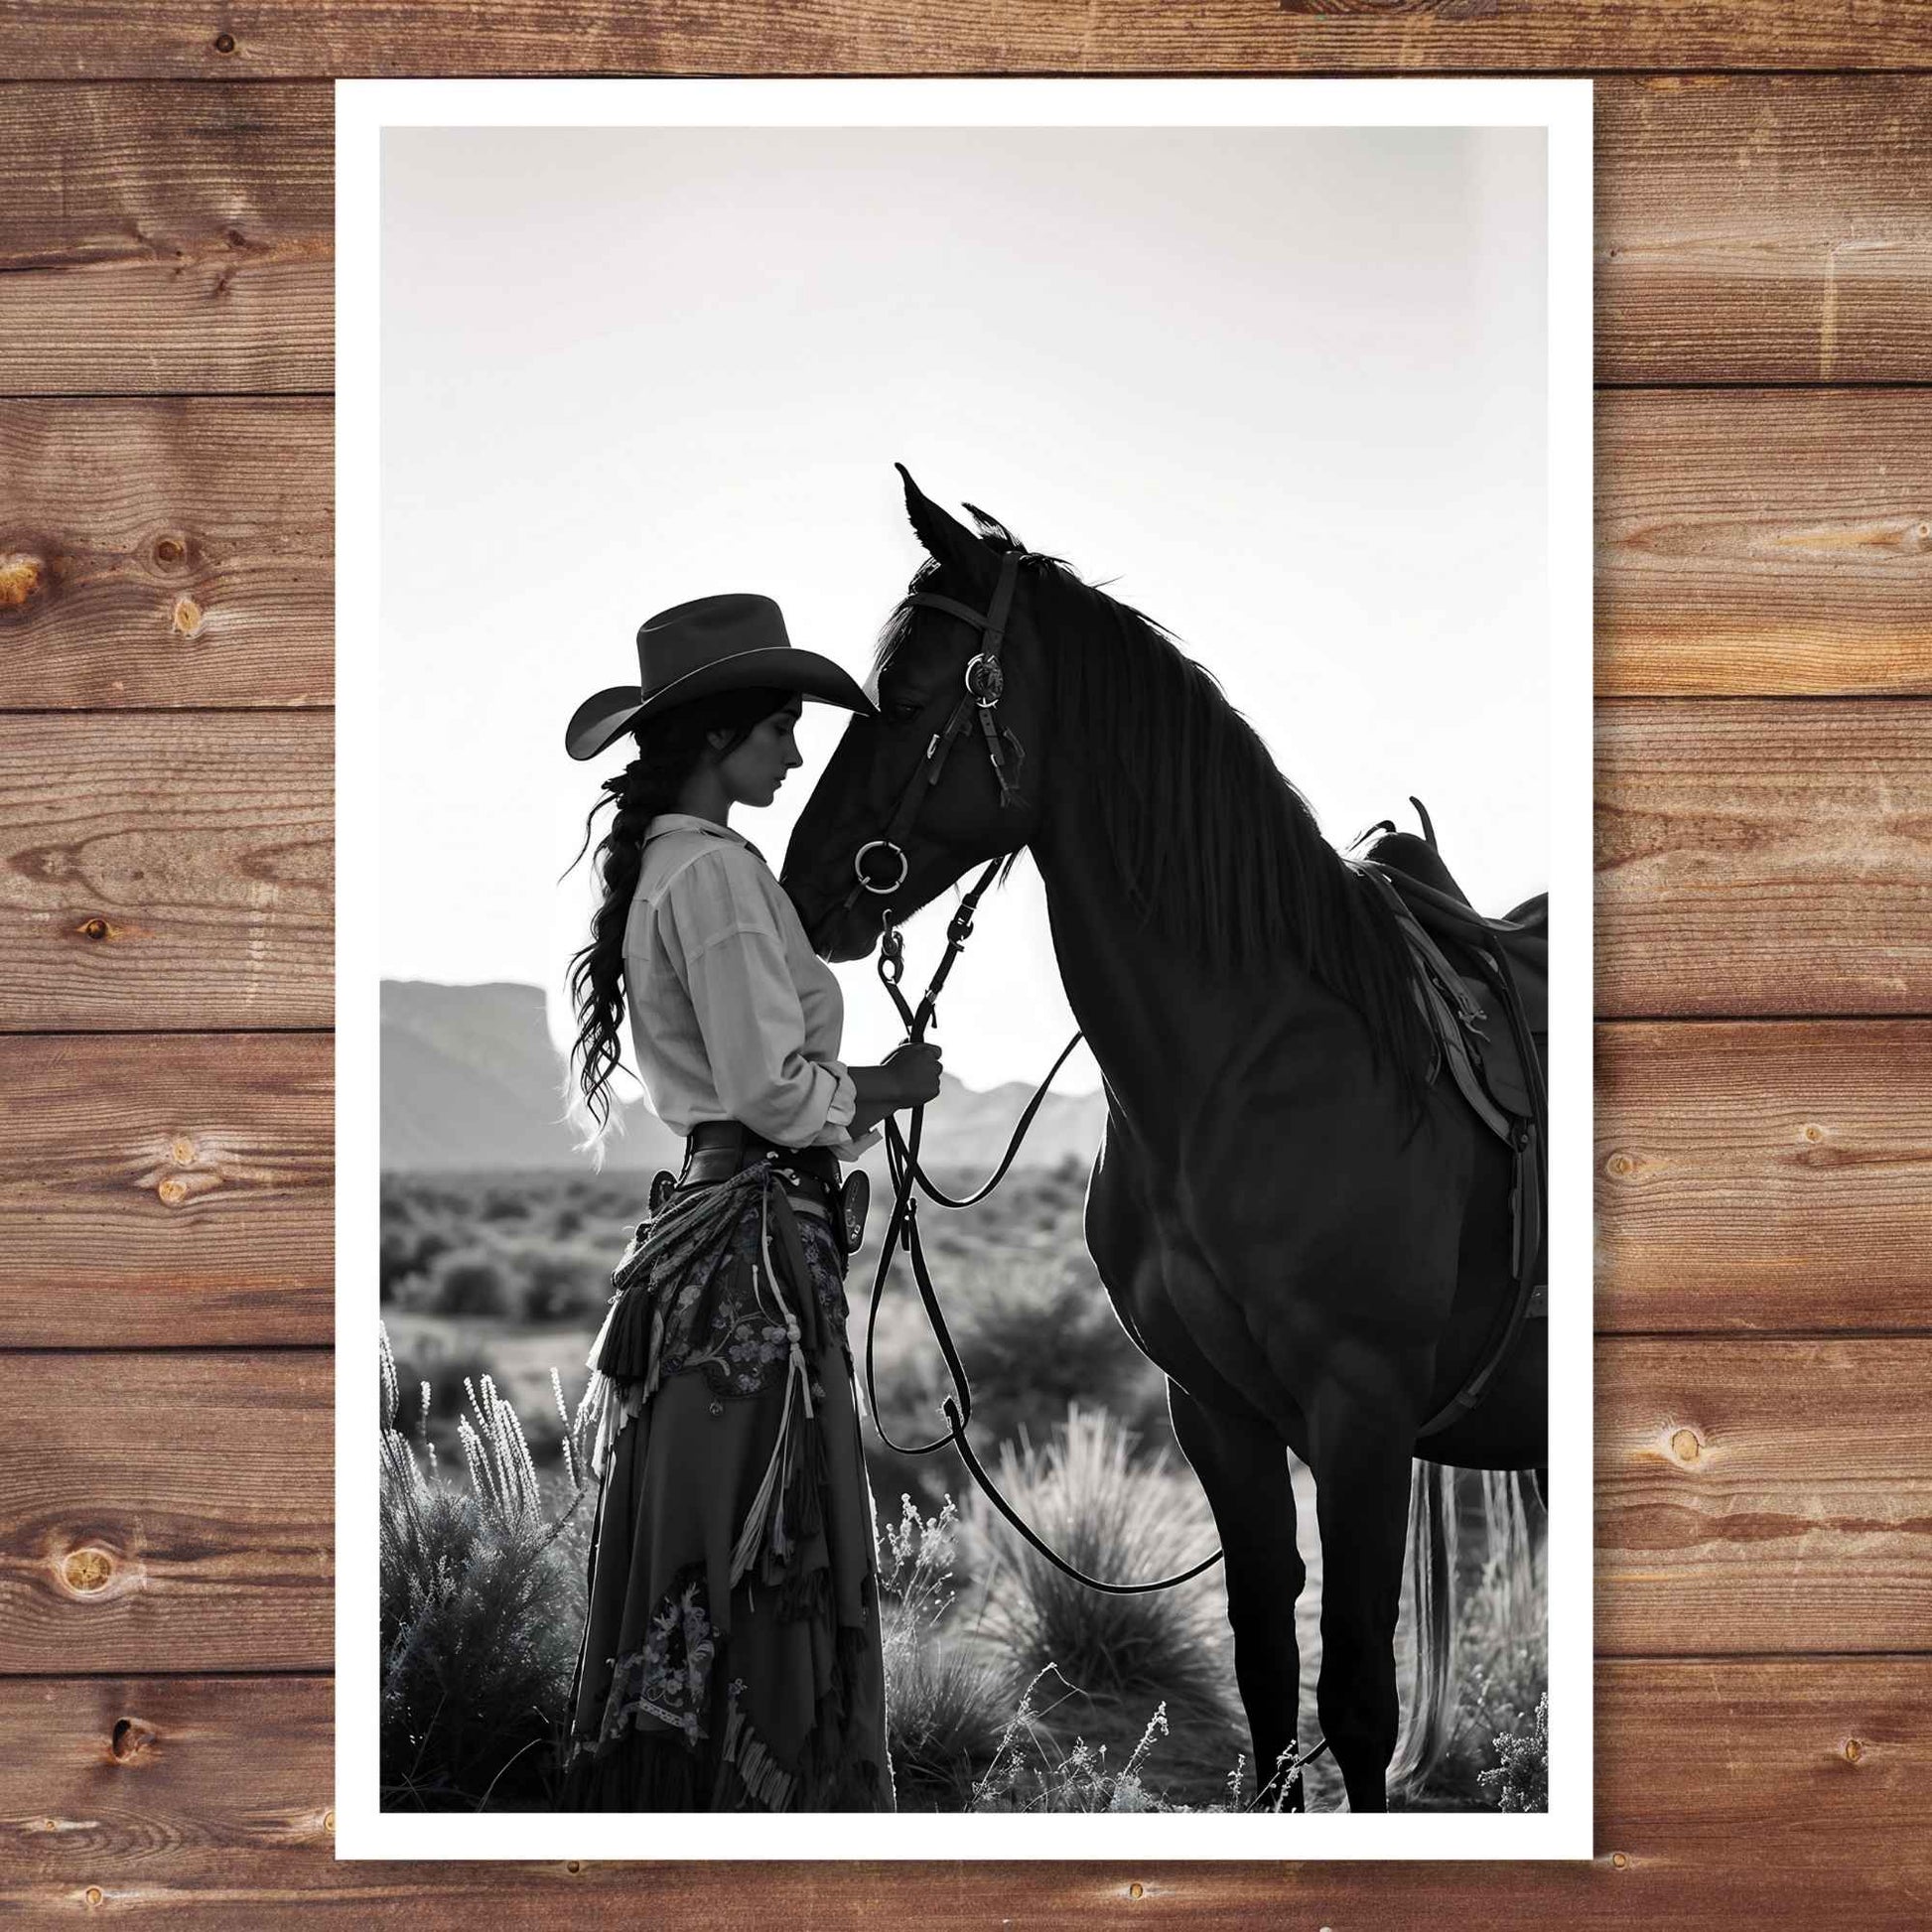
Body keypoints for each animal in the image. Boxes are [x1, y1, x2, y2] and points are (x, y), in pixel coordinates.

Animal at [779, 467, 1548, 1812]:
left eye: (908, 696)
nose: (803, 882)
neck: (1247, 1064)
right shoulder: (1214, 1411)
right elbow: (1262, 1671)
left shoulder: (1361, 1411)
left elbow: (1355, 1692)